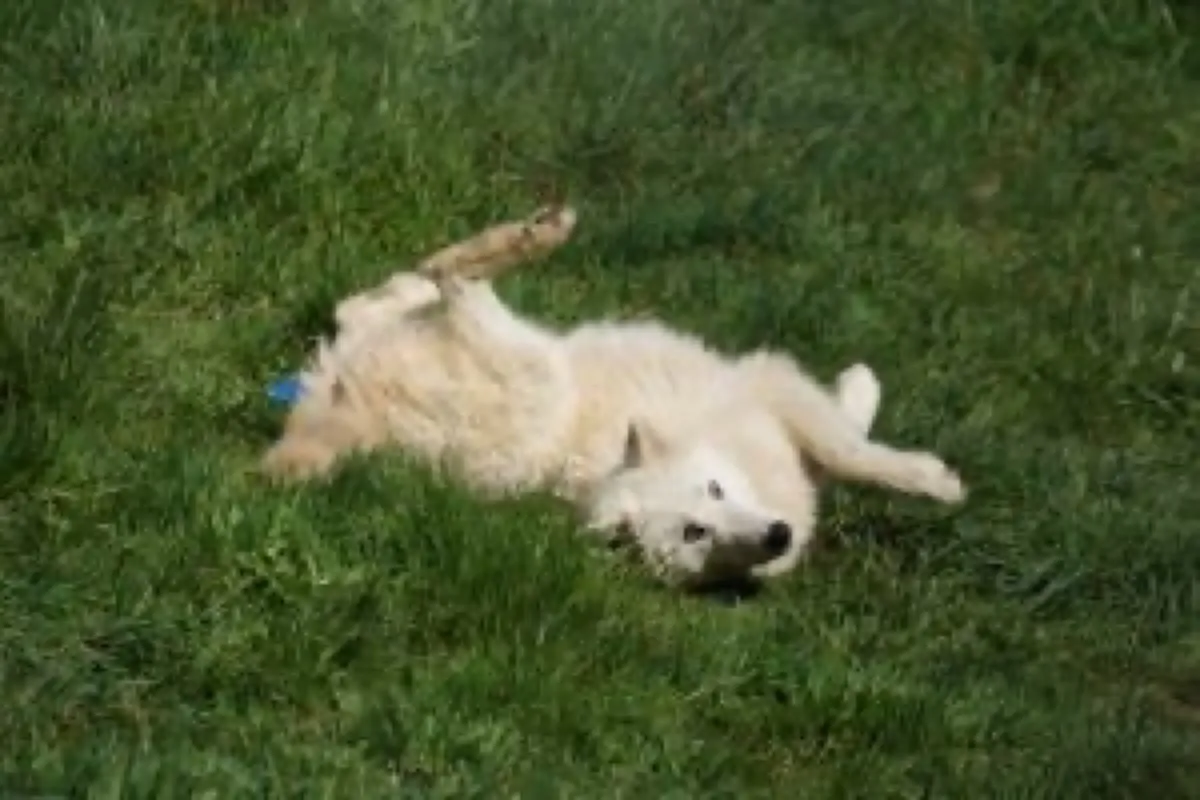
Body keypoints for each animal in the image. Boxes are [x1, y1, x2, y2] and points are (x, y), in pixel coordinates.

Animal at [261, 205, 966, 589]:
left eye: (714, 491)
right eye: (694, 533)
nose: (777, 535)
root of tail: (350, 416)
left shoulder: (776, 401)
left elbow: (841, 436)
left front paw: (860, 383)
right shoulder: (771, 390)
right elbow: (855, 451)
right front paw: (938, 480)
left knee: (378, 296)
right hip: (530, 364)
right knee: (451, 273)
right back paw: (537, 234)